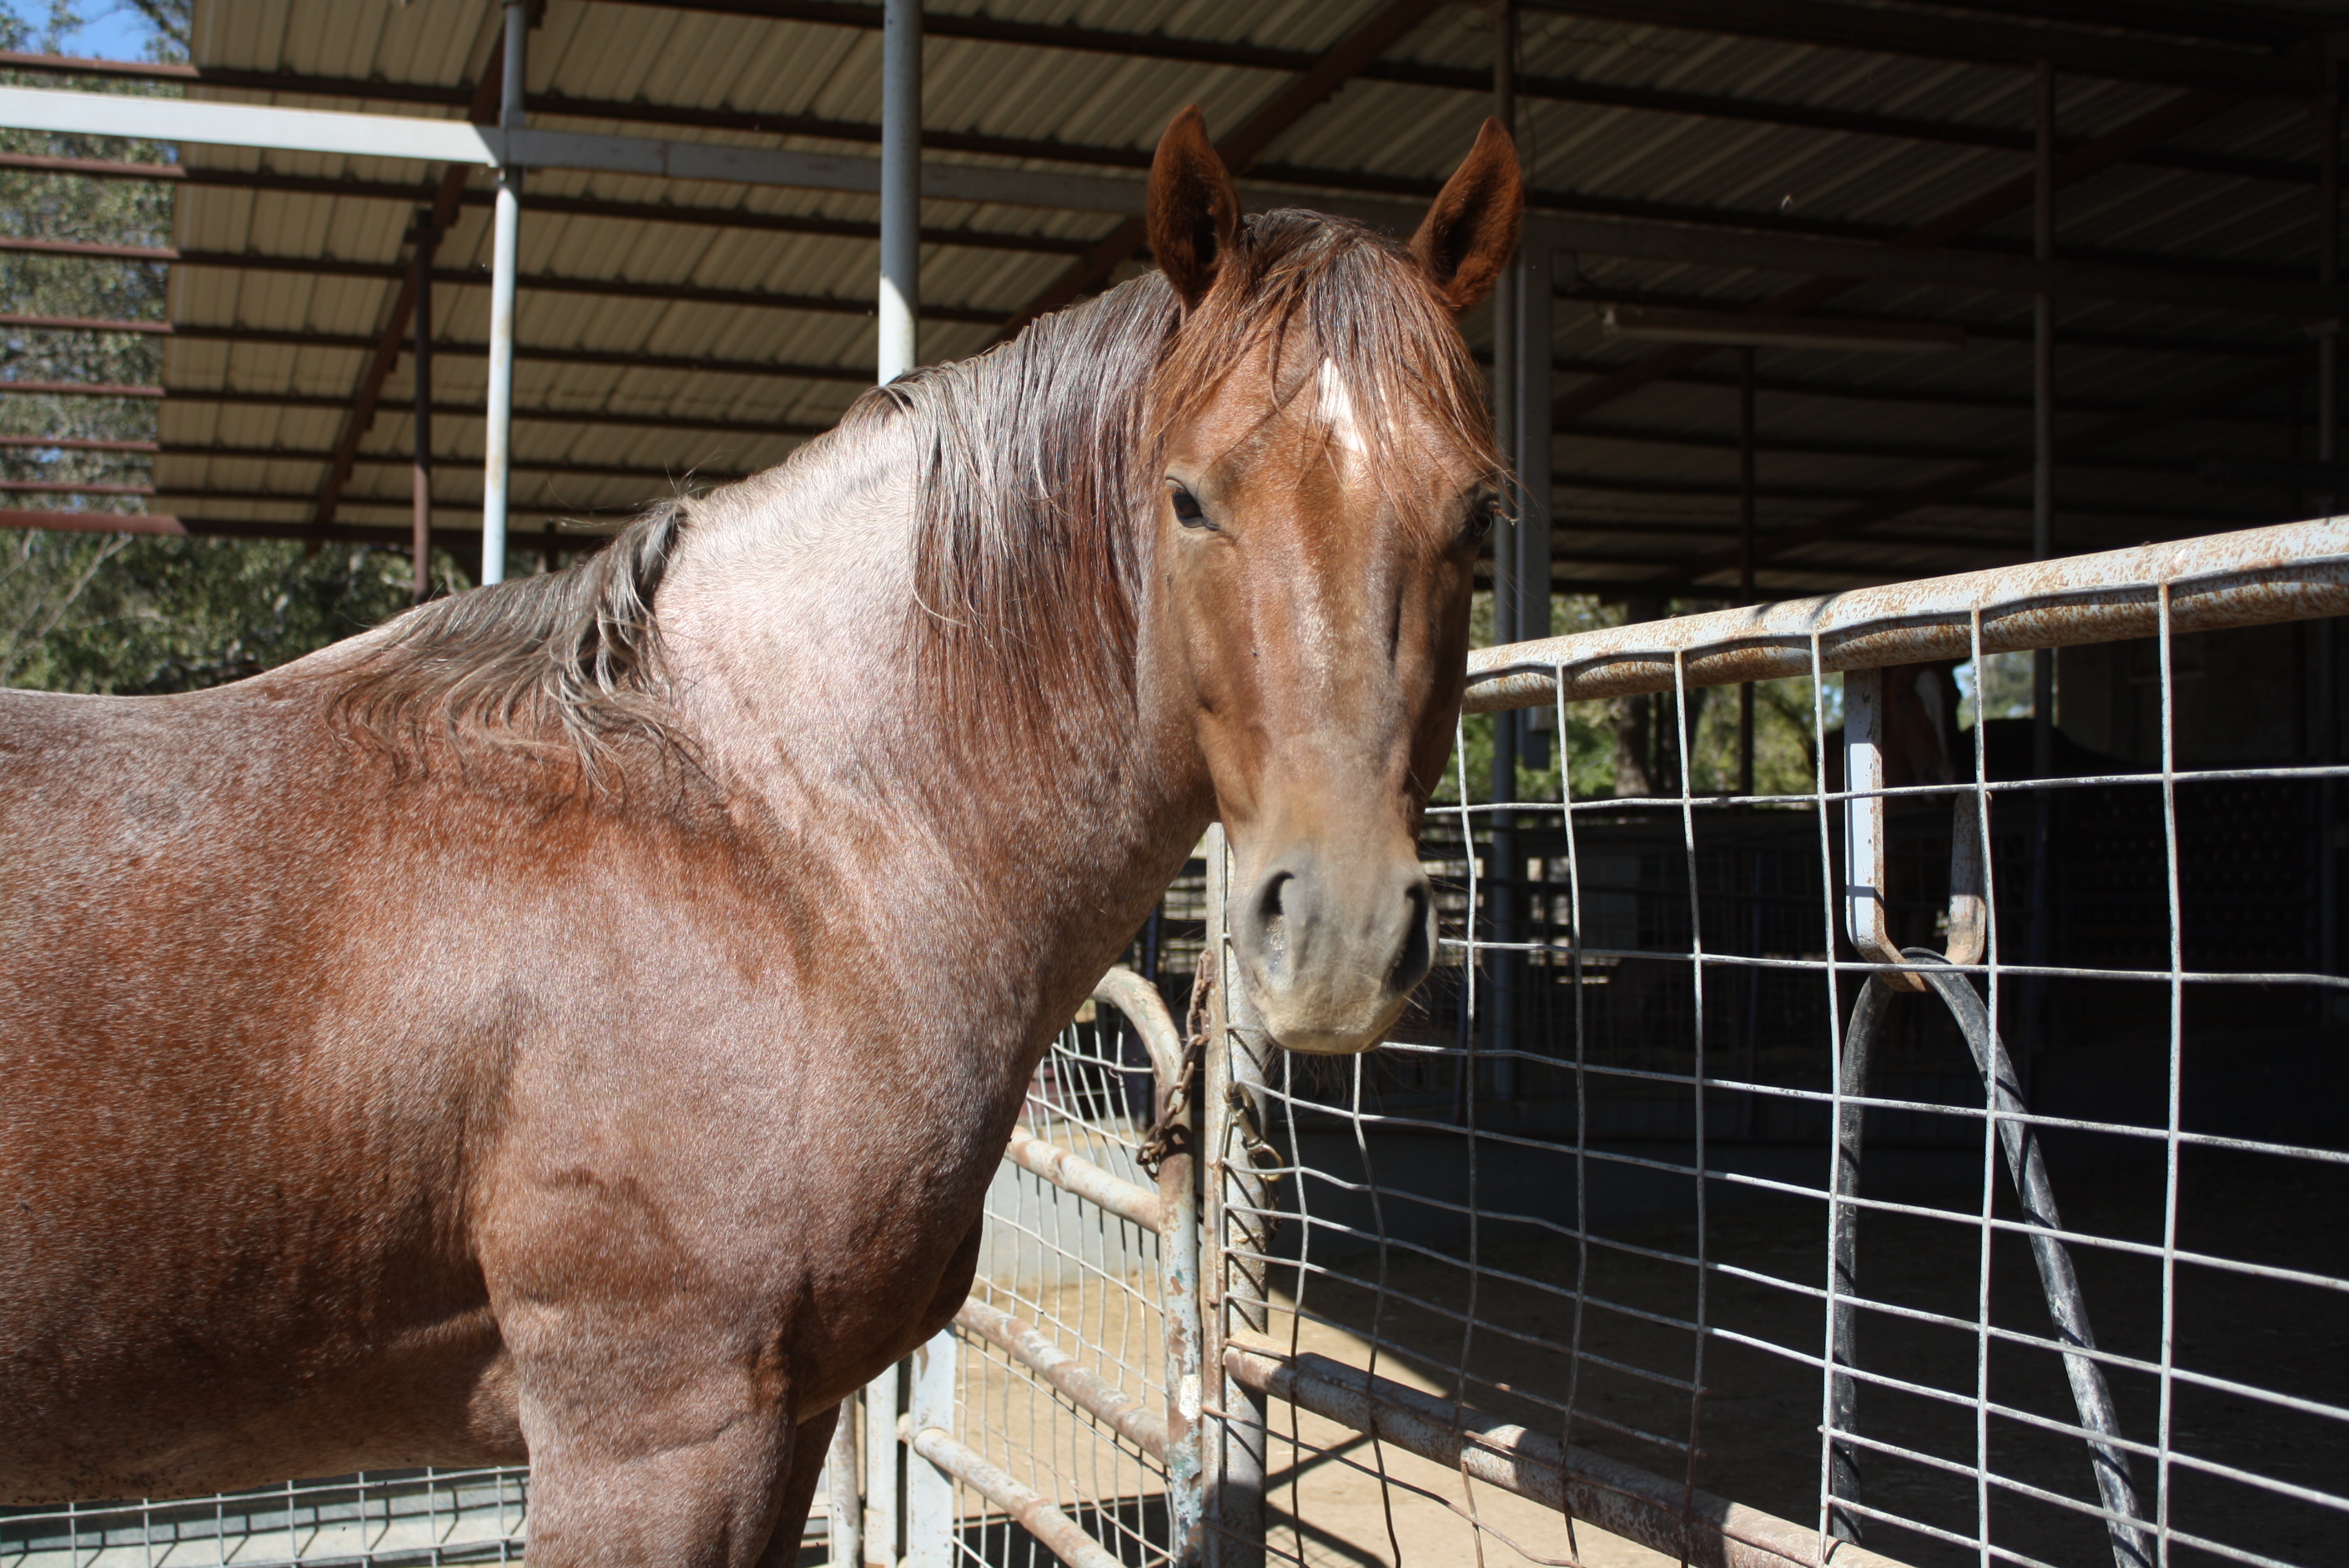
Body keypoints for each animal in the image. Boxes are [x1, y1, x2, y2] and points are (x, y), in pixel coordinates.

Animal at [0, 108, 1522, 1565]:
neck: (770, 841)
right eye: (1190, 498)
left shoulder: (783, 1422)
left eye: (1477, 514)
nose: (1339, 935)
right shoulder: (652, 1438)